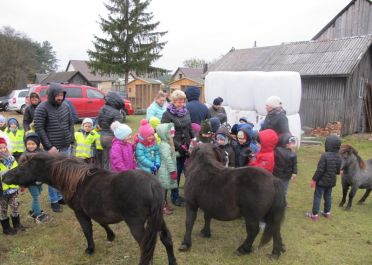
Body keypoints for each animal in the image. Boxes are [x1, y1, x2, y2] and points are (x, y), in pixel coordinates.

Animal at [2, 152, 177, 264]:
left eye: (22, 167)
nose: (4, 177)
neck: (76, 180)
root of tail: (153, 185)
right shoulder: (93, 209)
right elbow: (102, 222)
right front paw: (110, 235)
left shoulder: (80, 212)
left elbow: (87, 230)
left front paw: (90, 249)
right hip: (158, 219)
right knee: (166, 240)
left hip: (136, 224)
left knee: (146, 248)